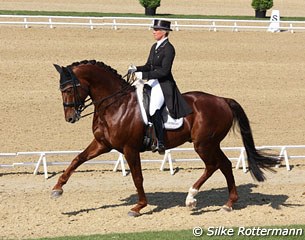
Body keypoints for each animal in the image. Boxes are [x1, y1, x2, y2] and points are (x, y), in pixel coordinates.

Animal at [51, 59, 278, 216]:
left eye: (70, 89)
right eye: (60, 89)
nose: (70, 117)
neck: (115, 104)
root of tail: (222, 100)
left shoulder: (130, 148)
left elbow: (137, 177)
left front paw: (138, 207)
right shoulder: (102, 144)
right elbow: (77, 159)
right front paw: (57, 188)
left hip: (203, 144)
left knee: (213, 165)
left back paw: (191, 198)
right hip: (211, 143)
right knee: (225, 165)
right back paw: (229, 204)